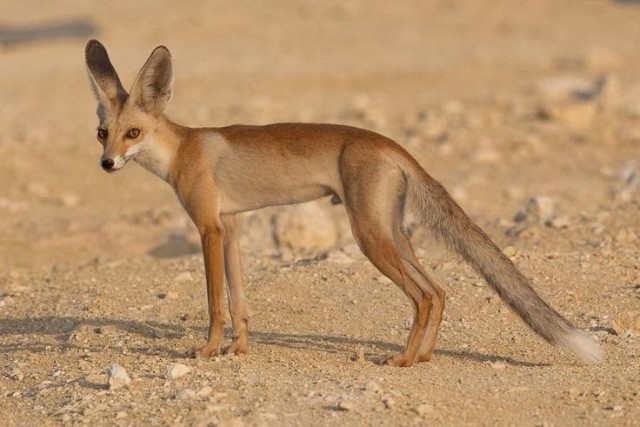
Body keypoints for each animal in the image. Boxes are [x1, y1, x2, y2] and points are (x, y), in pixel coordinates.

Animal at [84, 39, 602, 367]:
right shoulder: (230, 228)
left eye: (134, 133)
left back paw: (403, 360)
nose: (106, 164)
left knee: (423, 295)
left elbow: (215, 303)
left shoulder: (208, 229)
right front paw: (238, 351)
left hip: (369, 237)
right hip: (391, 234)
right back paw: (424, 357)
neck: (182, 150)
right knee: (438, 291)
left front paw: (208, 352)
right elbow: (239, 300)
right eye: (102, 133)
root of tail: (391, 144)